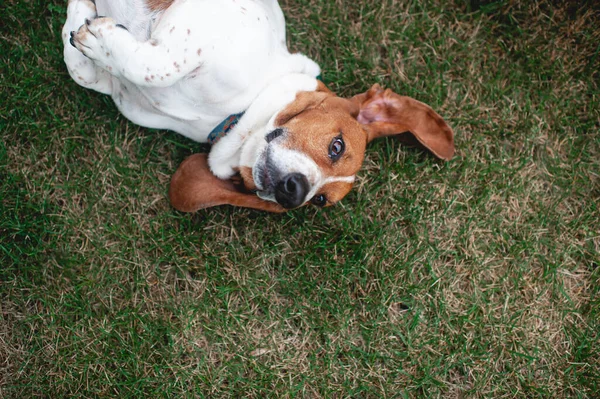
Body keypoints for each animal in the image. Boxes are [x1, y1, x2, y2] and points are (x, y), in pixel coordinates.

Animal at [62, 0, 454, 214]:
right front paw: (85, 19)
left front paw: (84, 24)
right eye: (337, 145)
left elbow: (89, 70)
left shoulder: (118, 89)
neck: (231, 115)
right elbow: (156, 66)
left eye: (320, 201)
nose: (294, 192)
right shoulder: (197, 23)